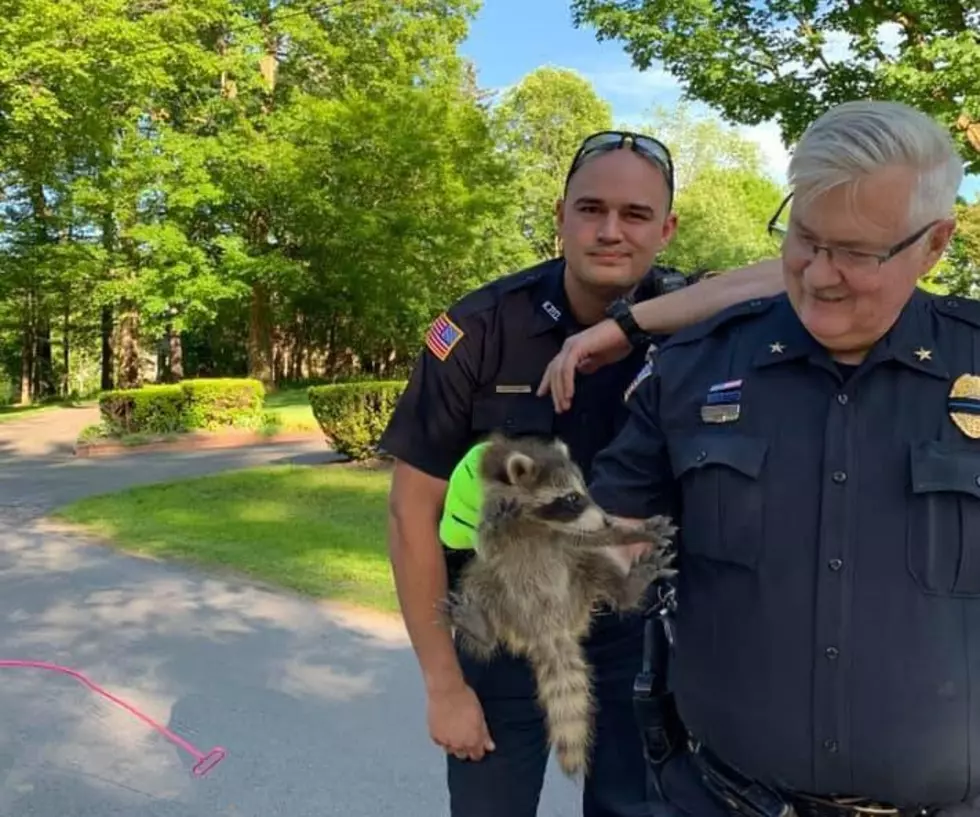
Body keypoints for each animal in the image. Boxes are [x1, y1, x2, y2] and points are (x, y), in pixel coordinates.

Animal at [442, 434, 676, 776]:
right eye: (571, 499)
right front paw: (499, 522)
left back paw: (627, 587)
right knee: (478, 580)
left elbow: (592, 539)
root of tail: (549, 630)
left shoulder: (565, 534)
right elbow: (487, 543)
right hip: (494, 587)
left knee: (593, 561)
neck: (534, 523)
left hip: (576, 579)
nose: (607, 519)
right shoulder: (488, 514)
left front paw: (630, 530)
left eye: (583, 491)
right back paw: (482, 627)